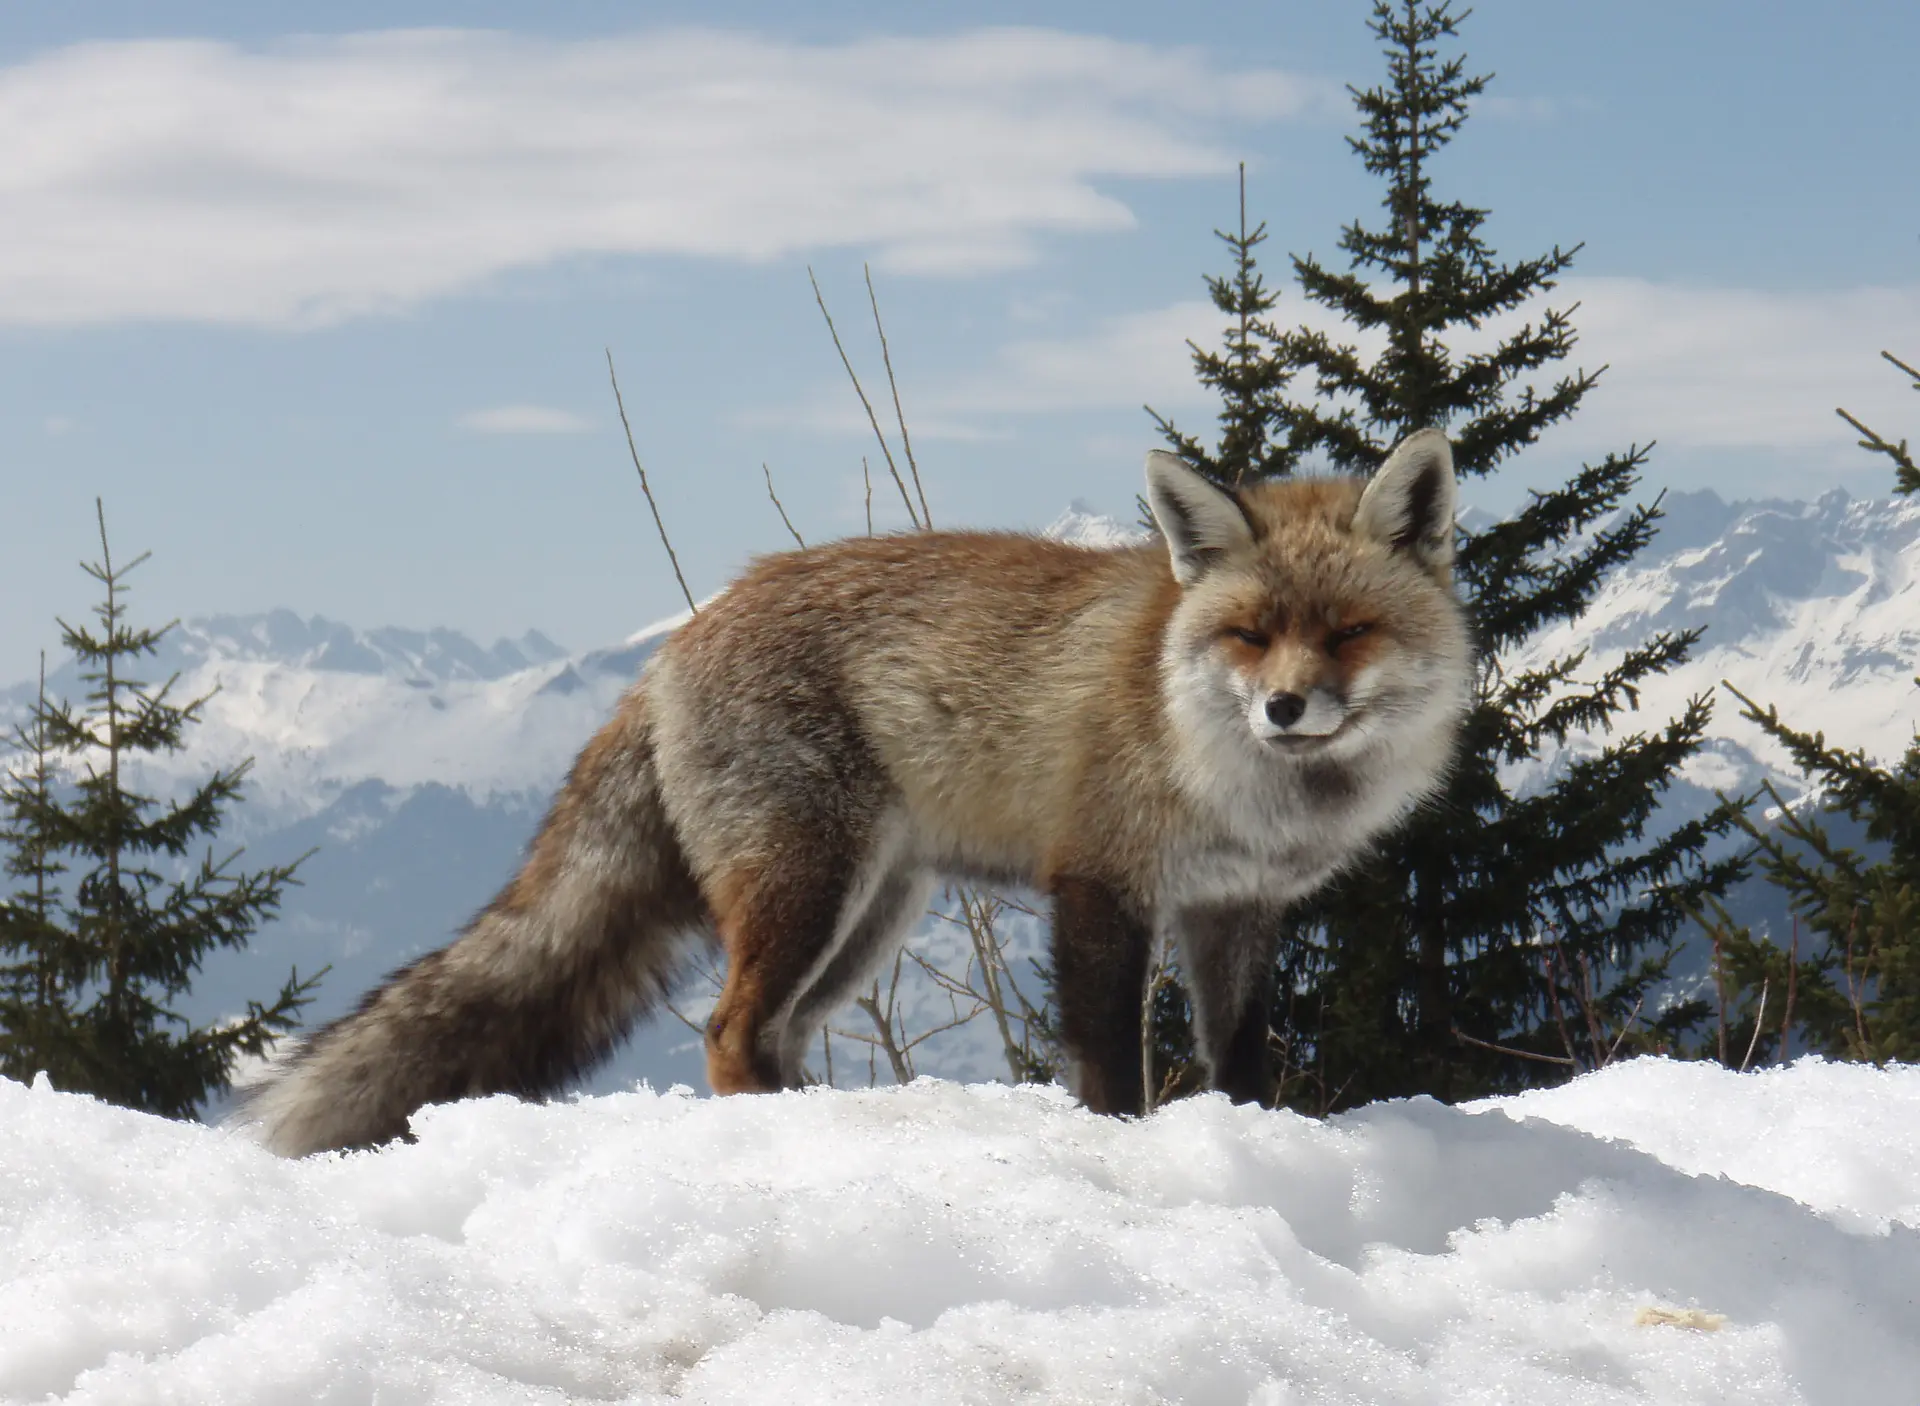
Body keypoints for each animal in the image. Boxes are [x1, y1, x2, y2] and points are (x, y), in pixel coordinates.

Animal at [243, 431, 1473, 1156]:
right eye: (1252, 634)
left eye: (1349, 632)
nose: (1286, 708)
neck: (1243, 780)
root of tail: (674, 644)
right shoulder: (1097, 880)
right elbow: (1108, 1066)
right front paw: (1119, 1155)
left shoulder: (1236, 907)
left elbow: (1242, 1062)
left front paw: (1254, 1145)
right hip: (810, 888)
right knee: (729, 1029)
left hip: (869, 913)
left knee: (773, 1033)